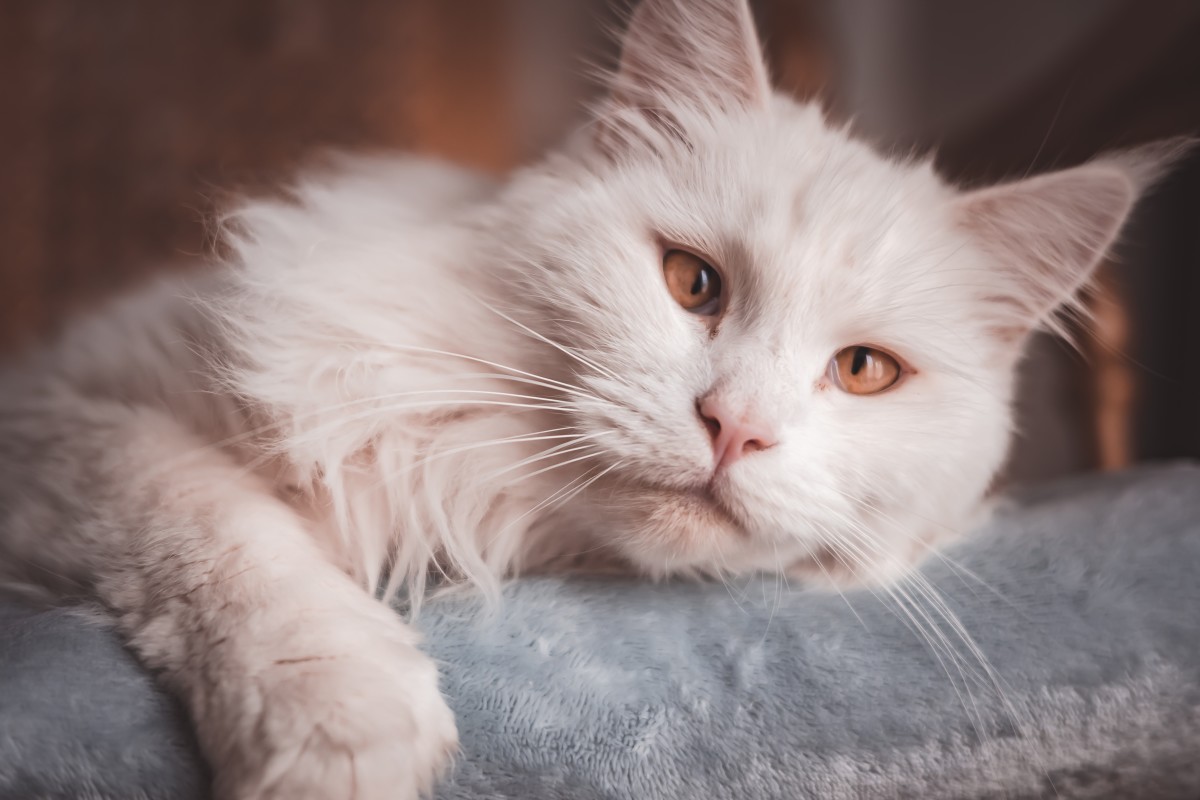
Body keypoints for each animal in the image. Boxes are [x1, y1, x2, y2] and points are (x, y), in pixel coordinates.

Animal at [0, 1, 1180, 800]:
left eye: (863, 372)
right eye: (692, 283)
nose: (736, 428)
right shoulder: (66, 416)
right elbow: (221, 533)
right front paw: (341, 724)